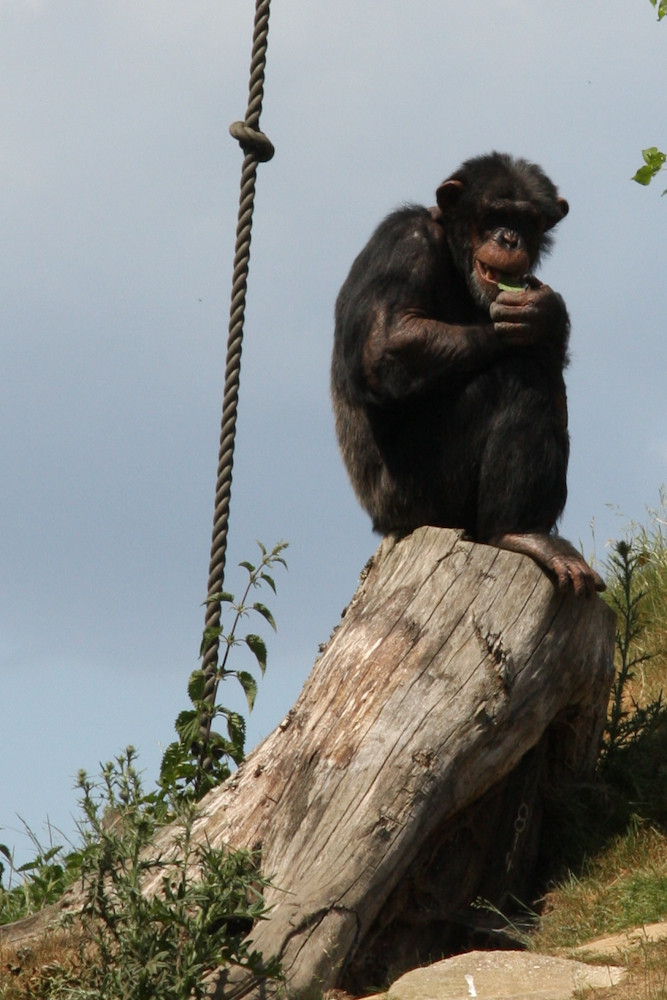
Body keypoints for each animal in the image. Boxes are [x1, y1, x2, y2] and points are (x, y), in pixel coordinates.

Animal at [334, 152, 604, 596]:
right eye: (495, 214)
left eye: (525, 220)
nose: (509, 239)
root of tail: (385, 523)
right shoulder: (403, 242)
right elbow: (387, 340)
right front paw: (540, 317)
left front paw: (546, 314)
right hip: (424, 495)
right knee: (519, 379)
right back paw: (519, 531)